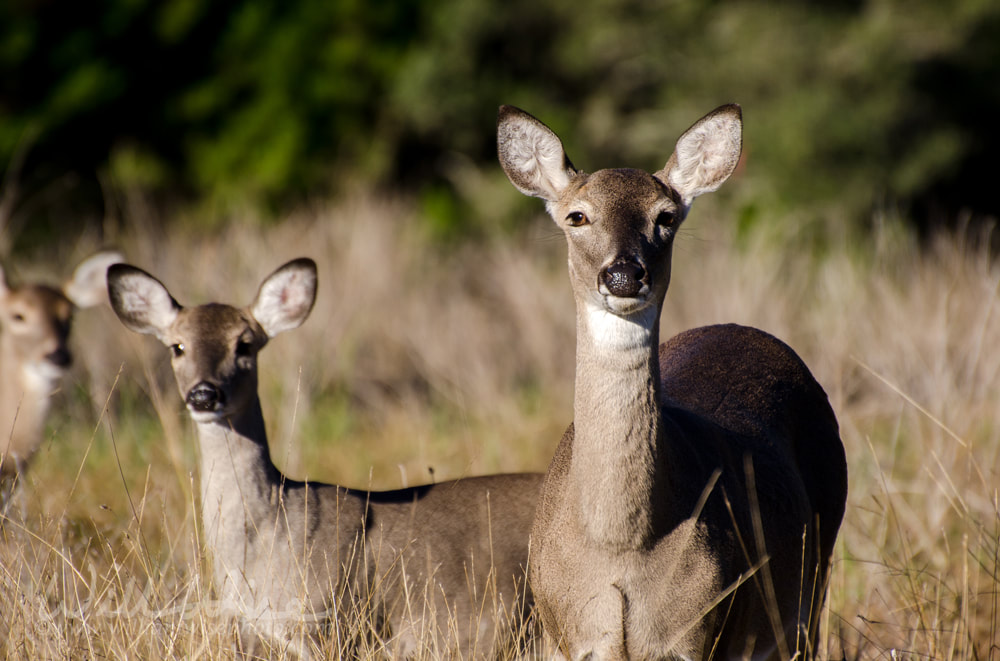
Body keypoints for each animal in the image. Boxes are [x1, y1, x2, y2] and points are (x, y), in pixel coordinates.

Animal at [496, 105, 848, 656]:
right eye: (577, 216)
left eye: (665, 216)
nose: (623, 274)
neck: (620, 546)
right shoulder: (565, 634)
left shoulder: (700, 630)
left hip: (814, 582)